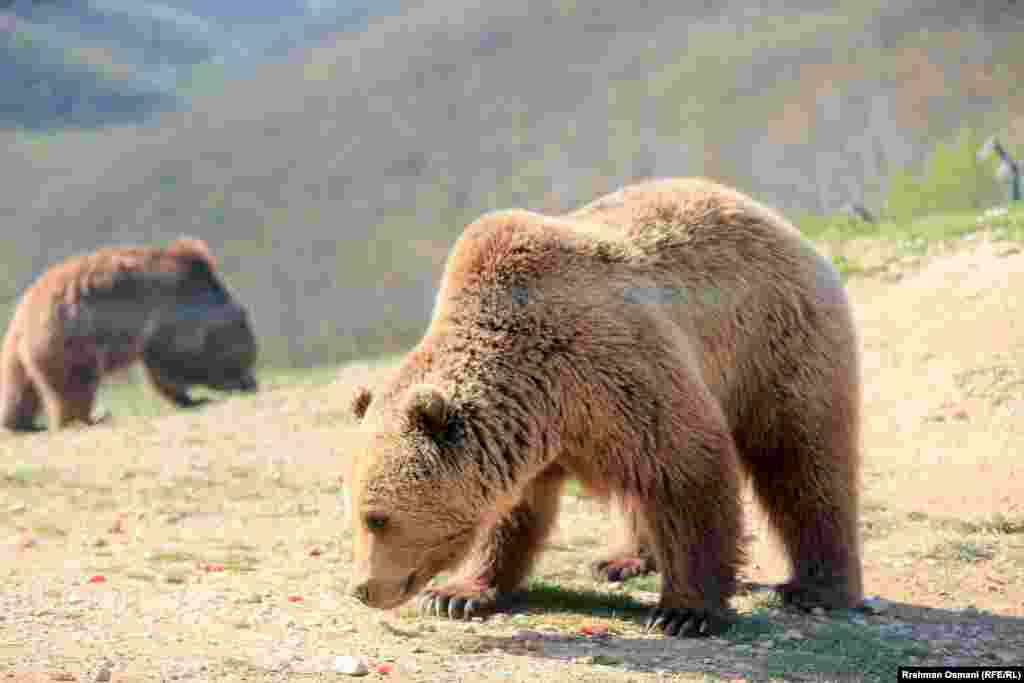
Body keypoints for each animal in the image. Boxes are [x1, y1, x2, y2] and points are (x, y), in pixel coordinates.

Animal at [0, 237, 260, 432]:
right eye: (243, 357)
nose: (251, 382)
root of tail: (23, 315)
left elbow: (161, 371)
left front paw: (189, 398)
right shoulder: (164, 319)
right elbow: (172, 364)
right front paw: (199, 395)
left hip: (21, 352)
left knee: (21, 389)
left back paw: (22, 423)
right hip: (70, 339)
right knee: (75, 384)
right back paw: (90, 418)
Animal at [344, 176, 864, 634]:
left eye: (377, 517)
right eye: (354, 512)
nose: (362, 589)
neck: (540, 394)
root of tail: (776, 218)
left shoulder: (613, 370)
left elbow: (687, 469)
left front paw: (686, 612)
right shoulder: (540, 433)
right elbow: (516, 512)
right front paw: (458, 593)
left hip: (776, 347)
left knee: (802, 463)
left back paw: (817, 587)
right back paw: (623, 558)